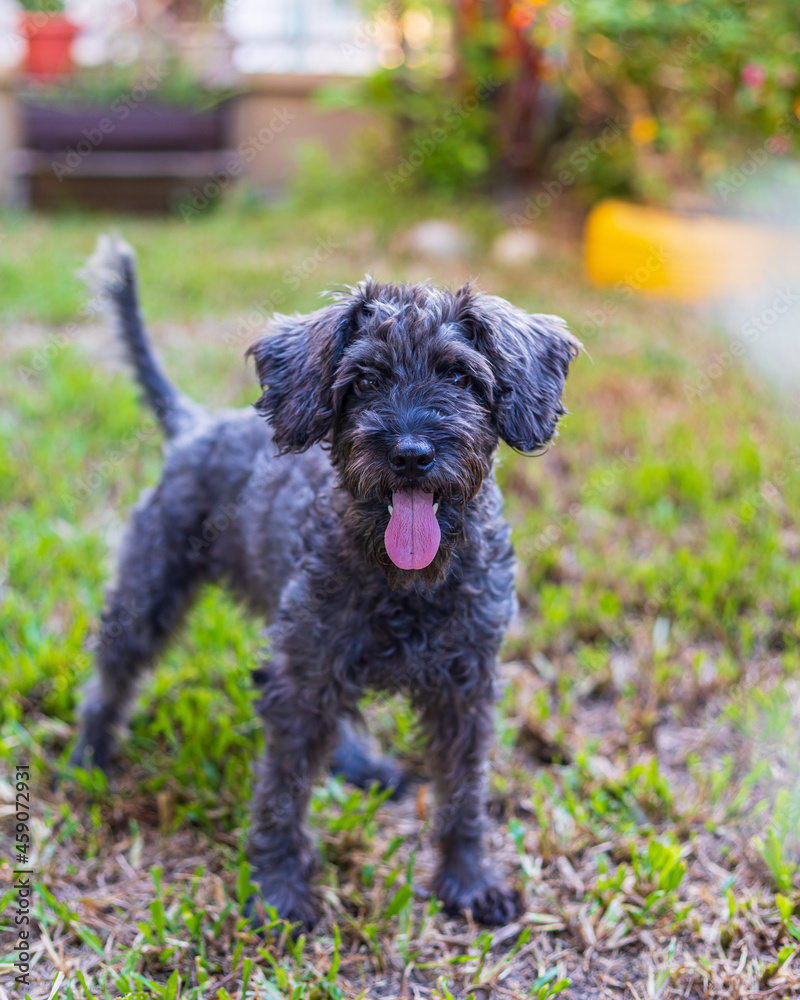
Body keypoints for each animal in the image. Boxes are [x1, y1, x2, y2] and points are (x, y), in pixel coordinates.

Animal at [72, 234, 580, 928]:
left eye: (459, 375)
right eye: (365, 379)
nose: (411, 454)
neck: (404, 584)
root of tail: (196, 425)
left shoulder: (466, 690)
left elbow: (464, 793)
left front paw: (469, 883)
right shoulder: (302, 683)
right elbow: (282, 794)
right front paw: (279, 891)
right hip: (153, 591)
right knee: (111, 679)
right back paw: (88, 762)